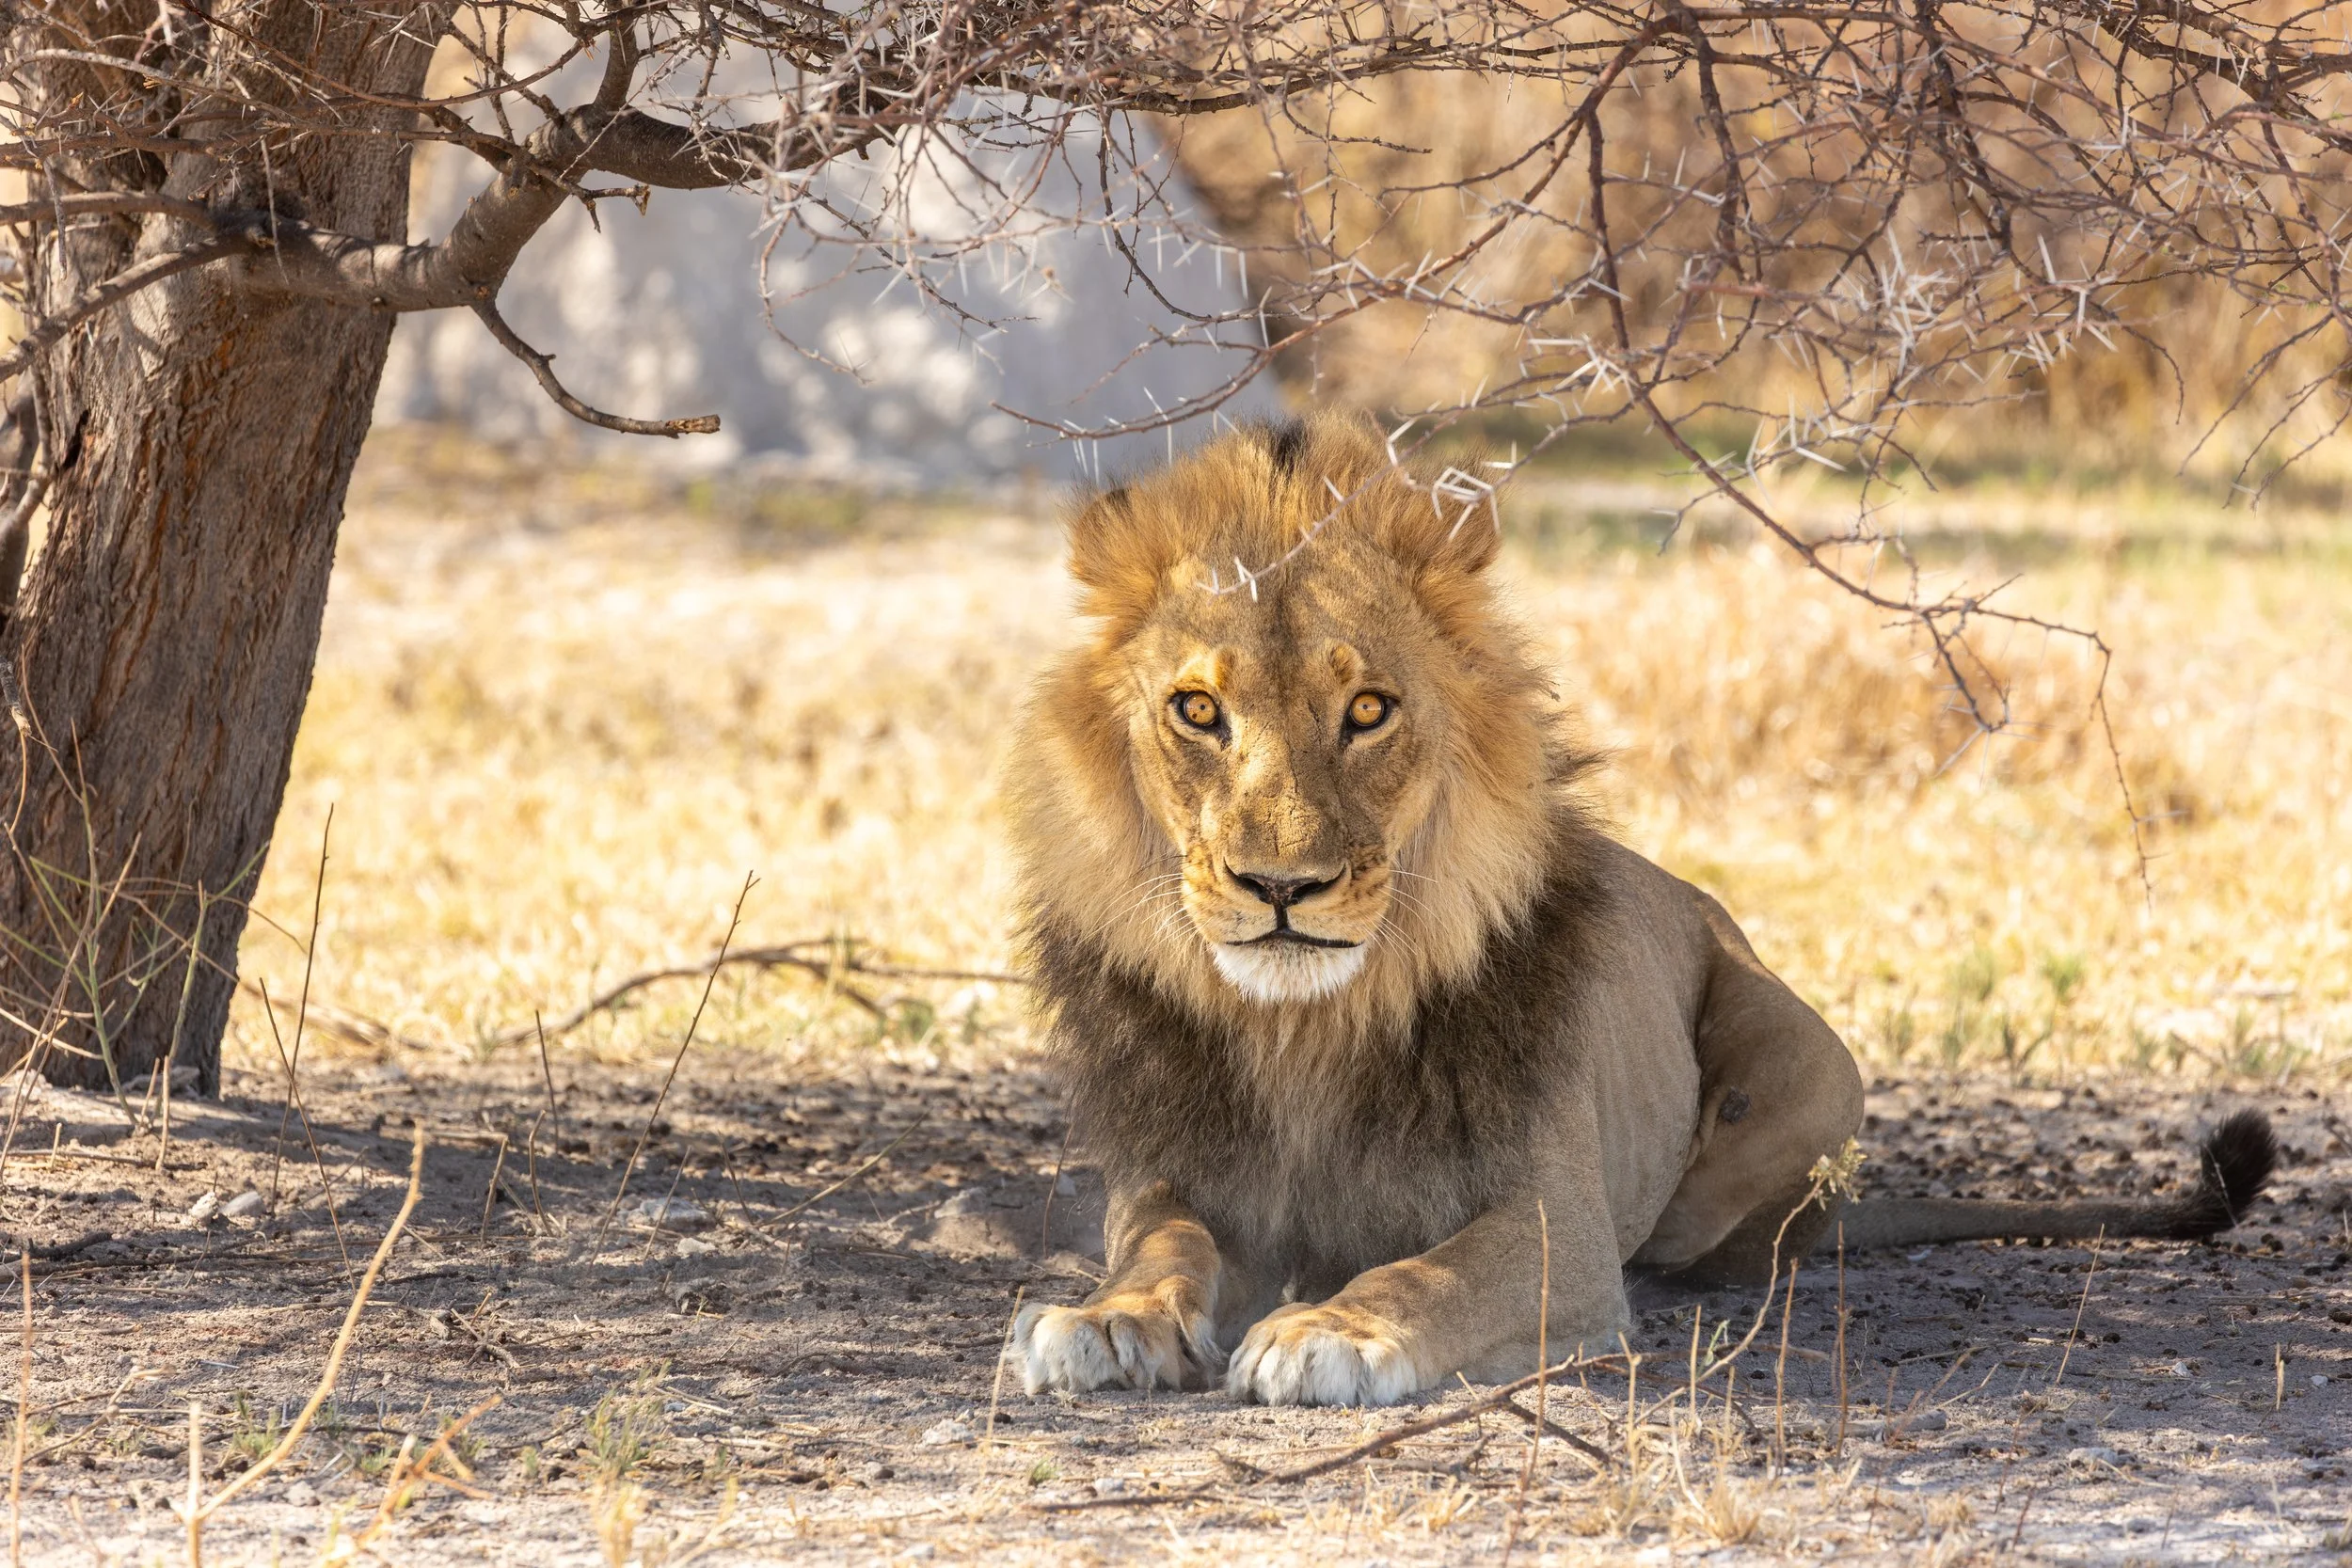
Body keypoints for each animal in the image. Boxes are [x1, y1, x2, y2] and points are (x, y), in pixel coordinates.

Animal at [1003, 414, 2276, 1407]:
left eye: (1367, 709)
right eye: (1196, 709)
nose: (1280, 887)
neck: (1307, 1028)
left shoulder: (1554, 1218)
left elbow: (1431, 1270)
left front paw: (1333, 1326)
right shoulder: (1167, 1167)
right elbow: (1163, 1239)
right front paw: (1108, 1315)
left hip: (1809, 1064)